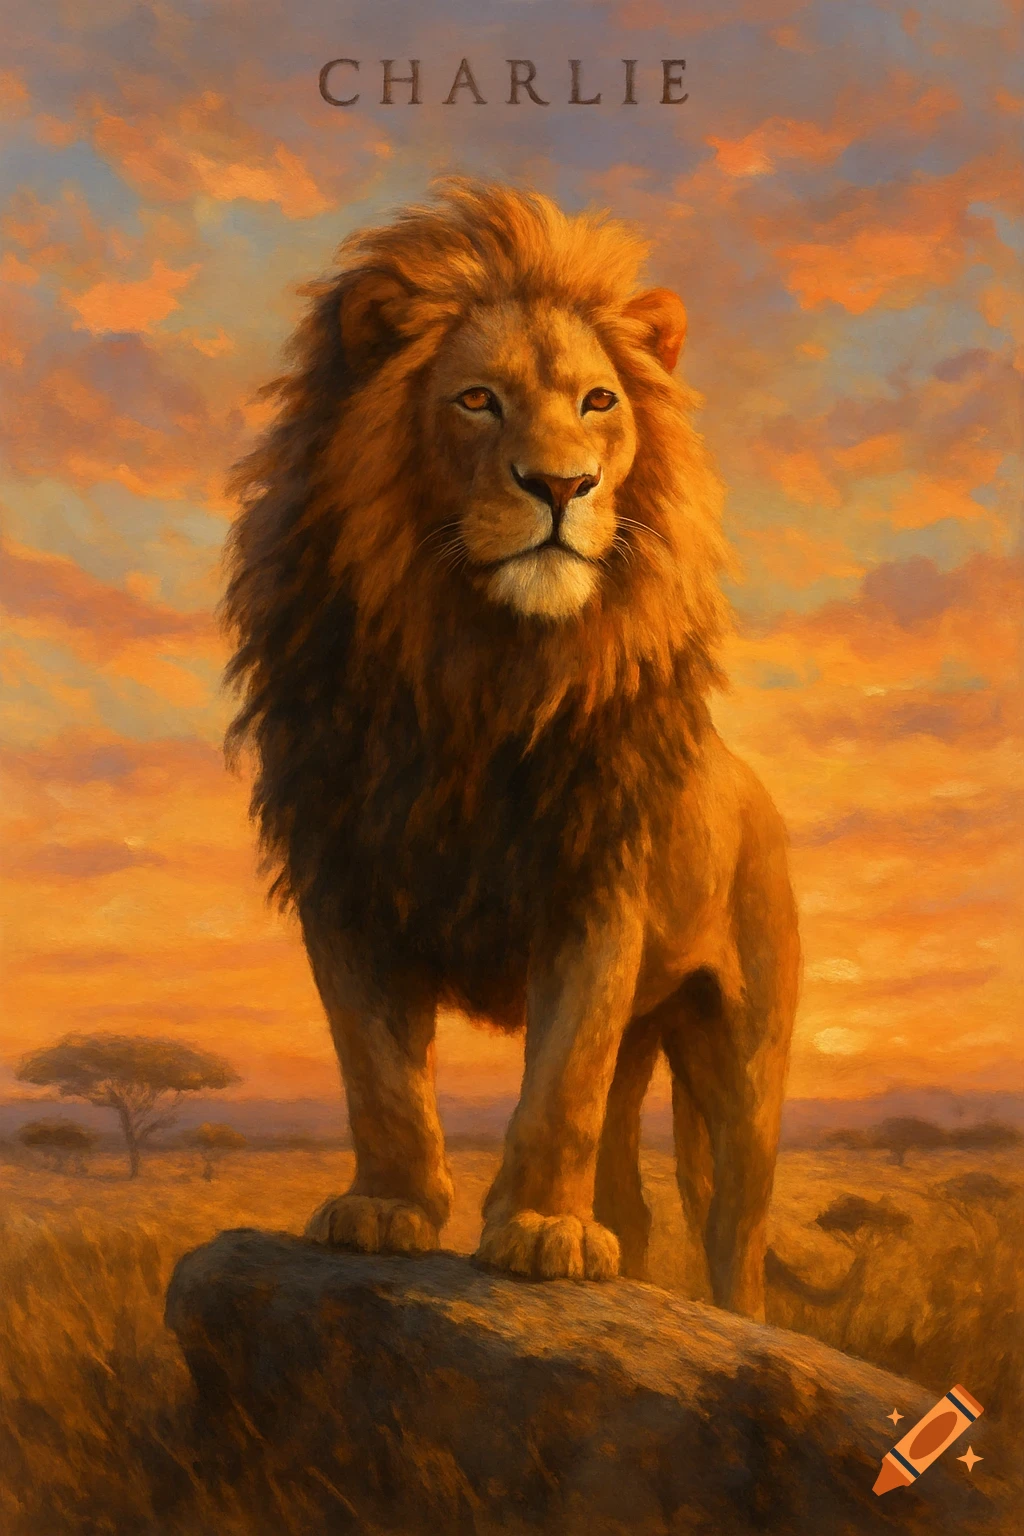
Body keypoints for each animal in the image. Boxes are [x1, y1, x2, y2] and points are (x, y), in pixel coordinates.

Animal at [225, 179, 800, 1320]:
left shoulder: (596, 892)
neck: (481, 670)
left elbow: (558, 1086)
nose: (562, 486)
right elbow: (378, 1075)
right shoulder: (344, 882)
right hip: (645, 1037)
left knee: (732, 1224)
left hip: (744, 1057)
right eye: (477, 400)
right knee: (632, 1196)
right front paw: (386, 1209)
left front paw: (539, 1232)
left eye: (598, 403)